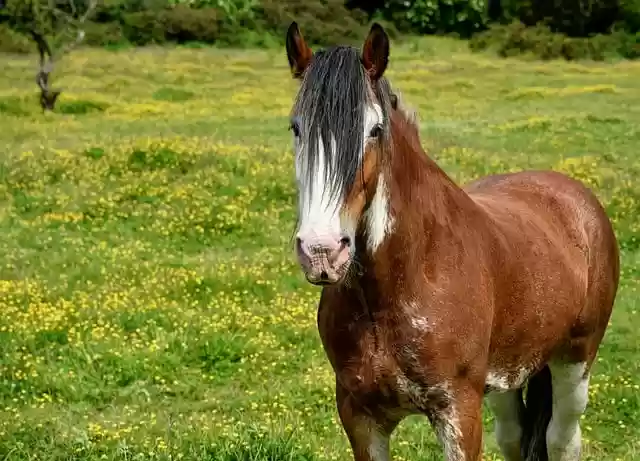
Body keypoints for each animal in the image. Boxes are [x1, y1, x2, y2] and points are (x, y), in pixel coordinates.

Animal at [284, 20, 620, 460]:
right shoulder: (360, 417)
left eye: (374, 129)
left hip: (574, 363)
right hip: (507, 376)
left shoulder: (458, 412)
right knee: (514, 437)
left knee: (561, 439)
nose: (322, 251)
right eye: (296, 127)